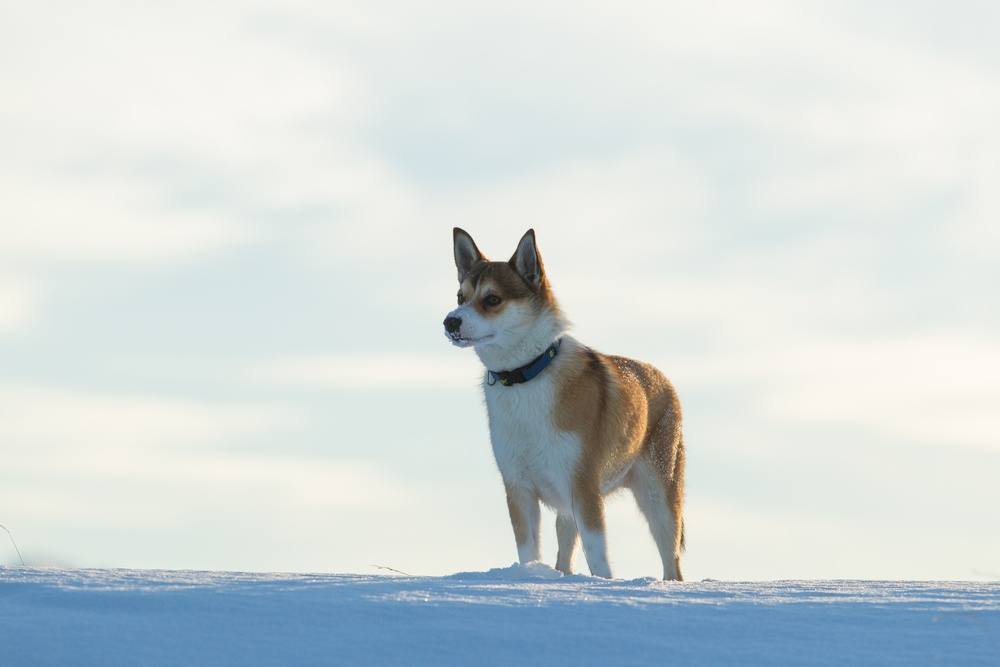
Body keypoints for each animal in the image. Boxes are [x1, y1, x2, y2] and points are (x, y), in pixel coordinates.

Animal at [442, 228, 684, 580]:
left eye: (492, 299)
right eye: (461, 297)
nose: (450, 322)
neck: (525, 376)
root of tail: (660, 377)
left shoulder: (583, 486)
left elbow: (597, 555)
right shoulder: (519, 488)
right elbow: (528, 550)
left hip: (659, 495)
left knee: (671, 560)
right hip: (566, 509)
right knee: (565, 555)